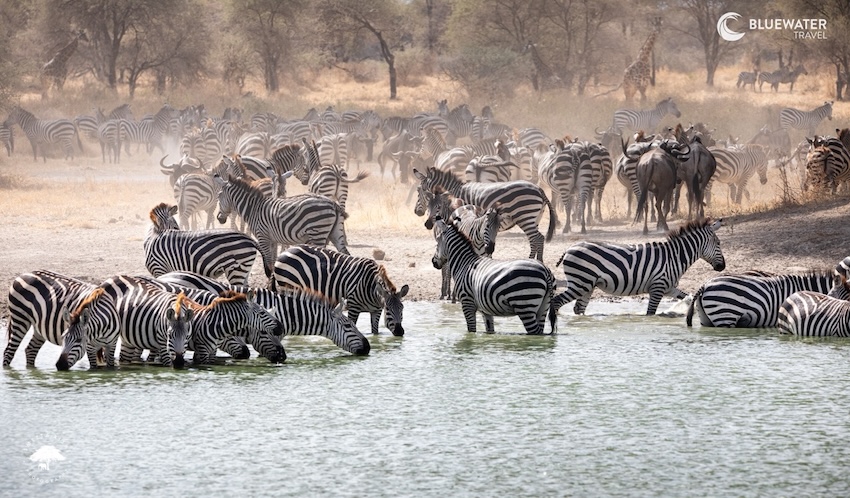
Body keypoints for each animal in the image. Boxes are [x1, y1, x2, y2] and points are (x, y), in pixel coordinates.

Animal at [214, 176, 350, 278]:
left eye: (219, 196)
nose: (219, 218)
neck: (253, 209)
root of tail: (332, 203)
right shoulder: (272, 239)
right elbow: (273, 261)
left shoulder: (262, 237)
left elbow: (269, 262)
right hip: (335, 233)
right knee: (345, 253)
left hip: (318, 233)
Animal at [273, 245, 409, 336]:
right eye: (388, 309)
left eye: (402, 309)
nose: (400, 332)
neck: (372, 290)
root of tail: (285, 251)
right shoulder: (353, 306)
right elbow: (353, 324)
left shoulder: (376, 310)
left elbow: (375, 331)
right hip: (289, 286)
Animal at [413, 167, 556, 261]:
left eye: (421, 190)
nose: (417, 212)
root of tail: (539, 188)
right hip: (535, 218)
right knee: (537, 239)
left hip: (525, 217)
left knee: (536, 239)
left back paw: (533, 261)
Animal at [553, 218, 726, 316]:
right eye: (718, 243)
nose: (723, 267)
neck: (674, 256)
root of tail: (569, 248)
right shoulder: (657, 287)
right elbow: (650, 314)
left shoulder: (668, 287)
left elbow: (687, 298)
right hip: (580, 283)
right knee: (557, 301)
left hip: (587, 285)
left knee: (579, 308)